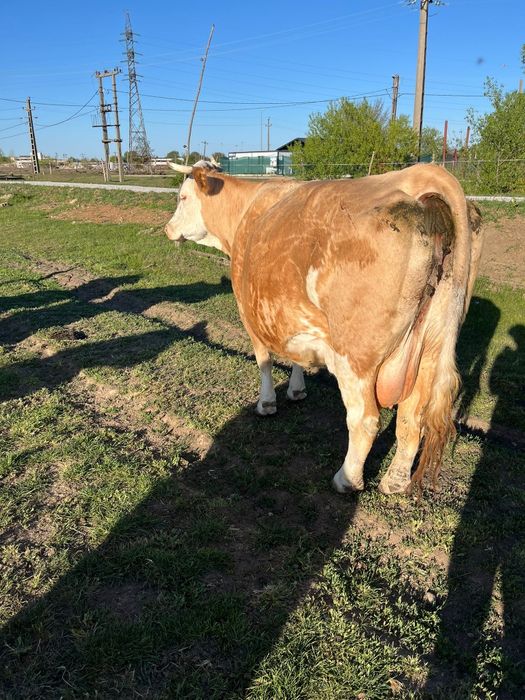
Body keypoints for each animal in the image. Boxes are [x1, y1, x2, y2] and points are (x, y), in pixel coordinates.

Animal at [165, 161, 483, 495]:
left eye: (182, 197)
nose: (168, 229)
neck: (245, 211)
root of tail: (421, 174)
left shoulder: (249, 309)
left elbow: (264, 361)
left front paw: (267, 403)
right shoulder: (290, 315)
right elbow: (296, 357)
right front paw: (297, 389)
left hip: (354, 355)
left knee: (365, 418)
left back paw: (347, 479)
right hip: (429, 348)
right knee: (412, 416)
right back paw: (395, 481)